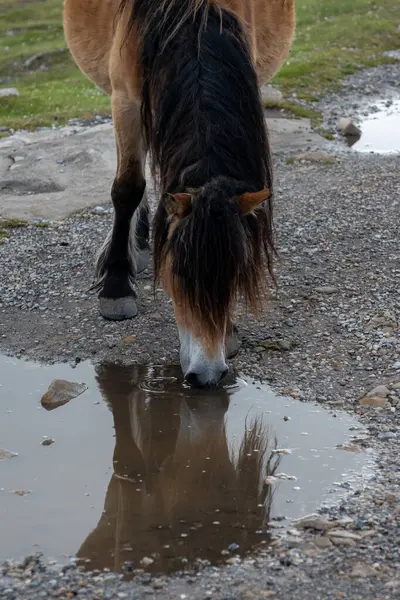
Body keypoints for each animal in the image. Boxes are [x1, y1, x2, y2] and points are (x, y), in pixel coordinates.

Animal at [62, 0, 294, 386]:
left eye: (236, 274)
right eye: (179, 274)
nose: (208, 375)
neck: (191, 14)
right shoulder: (125, 100)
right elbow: (128, 188)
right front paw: (115, 287)